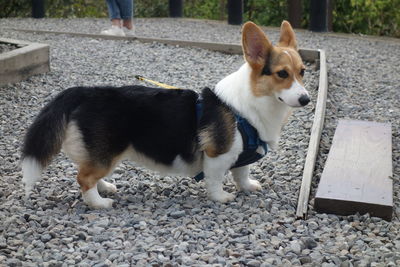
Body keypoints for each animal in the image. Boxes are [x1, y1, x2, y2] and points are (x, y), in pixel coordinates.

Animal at [21, 21, 310, 209]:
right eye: (282, 74)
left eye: (302, 72)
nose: (306, 99)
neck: (248, 106)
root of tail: (85, 92)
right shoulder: (218, 156)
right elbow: (216, 181)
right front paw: (222, 199)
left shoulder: (240, 156)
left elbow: (242, 173)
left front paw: (248, 187)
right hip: (108, 153)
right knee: (83, 178)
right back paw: (99, 203)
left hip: (102, 154)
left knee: (88, 171)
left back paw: (104, 188)